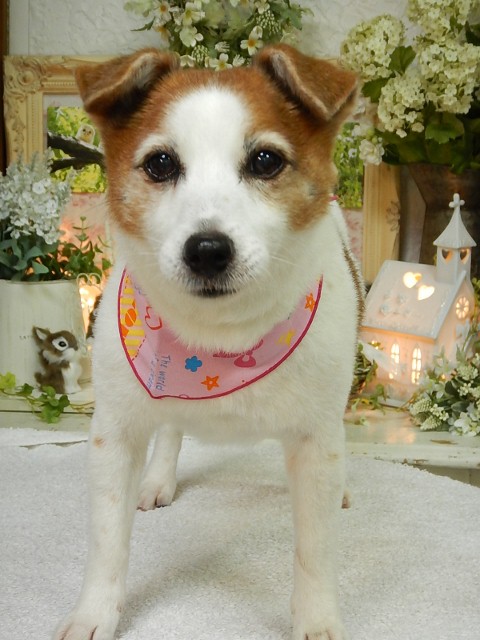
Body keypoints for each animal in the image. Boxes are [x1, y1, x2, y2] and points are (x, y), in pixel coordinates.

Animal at [54, 44, 361, 640]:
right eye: (160, 164)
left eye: (265, 160)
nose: (208, 249)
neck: (219, 340)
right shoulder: (114, 434)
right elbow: (107, 542)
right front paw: (95, 613)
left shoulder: (316, 442)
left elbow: (314, 551)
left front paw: (315, 619)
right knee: (171, 428)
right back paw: (158, 478)